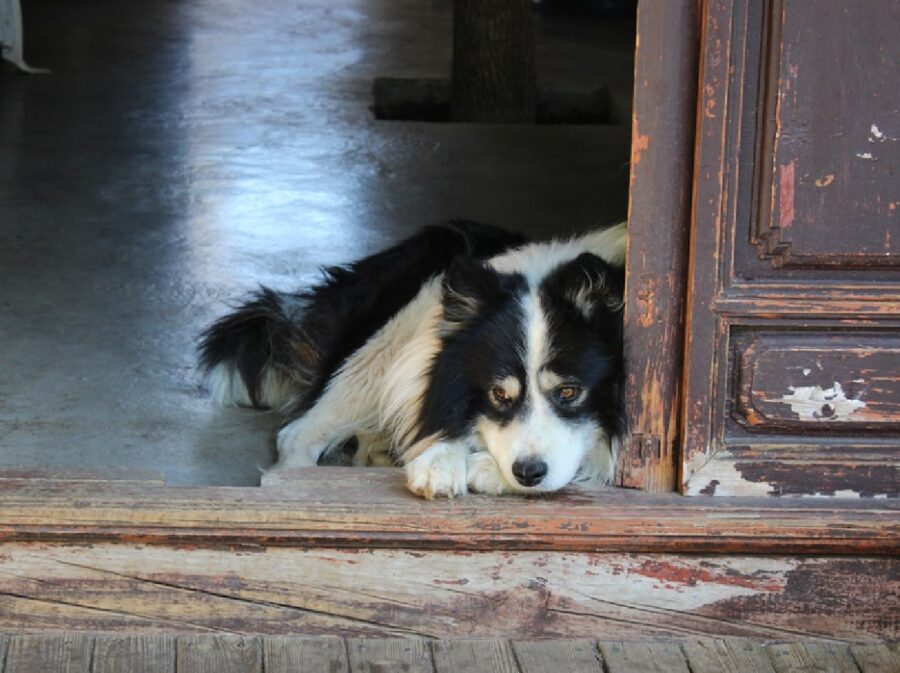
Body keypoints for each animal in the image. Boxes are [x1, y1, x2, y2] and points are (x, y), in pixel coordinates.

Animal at [200, 219, 624, 494]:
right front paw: (440, 464)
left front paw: (484, 468)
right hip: (393, 333)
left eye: (568, 393)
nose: (527, 473)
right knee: (297, 434)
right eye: (498, 395)